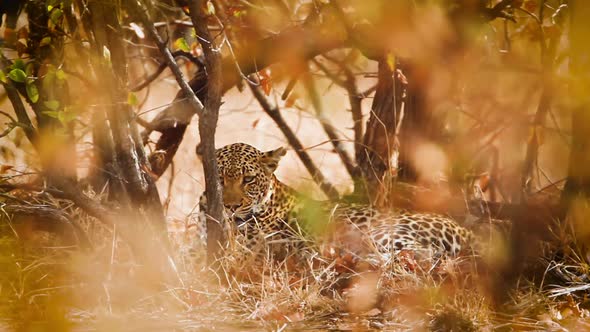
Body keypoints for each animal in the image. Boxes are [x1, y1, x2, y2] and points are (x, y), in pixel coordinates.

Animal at [200, 142, 480, 264]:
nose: (231, 207)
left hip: (379, 231)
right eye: (220, 180)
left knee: (418, 255)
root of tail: (463, 229)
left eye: (248, 179)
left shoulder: (248, 252)